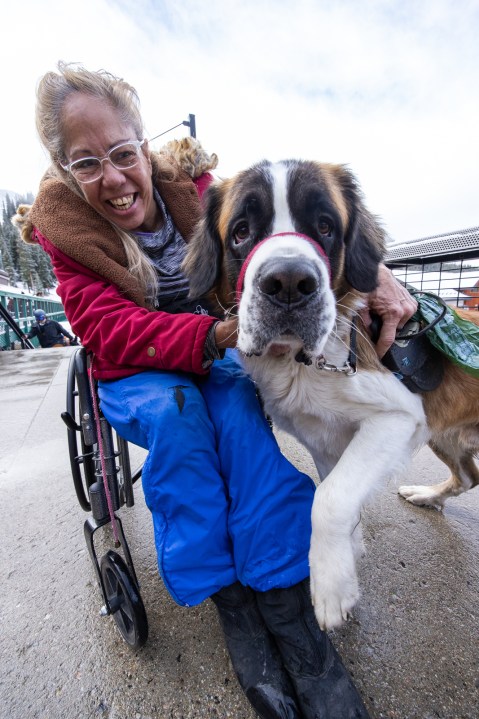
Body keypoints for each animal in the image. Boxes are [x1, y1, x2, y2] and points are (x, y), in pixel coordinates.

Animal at [184, 159, 479, 632]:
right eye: (242, 231)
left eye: (324, 226)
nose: (288, 282)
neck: (300, 362)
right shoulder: (325, 439)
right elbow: (335, 487)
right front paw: (348, 557)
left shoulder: (398, 418)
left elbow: (330, 499)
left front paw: (332, 588)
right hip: (443, 436)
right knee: (469, 476)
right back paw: (427, 495)